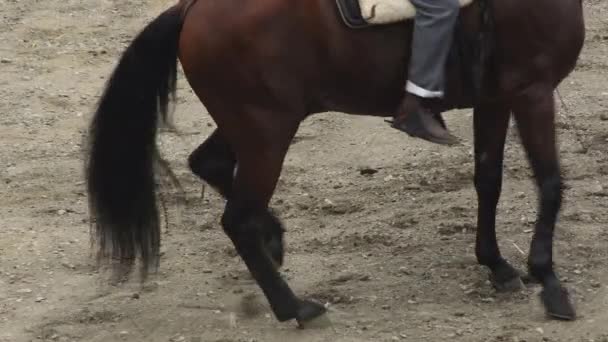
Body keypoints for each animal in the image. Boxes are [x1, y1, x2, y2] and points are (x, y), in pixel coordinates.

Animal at [84, 0, 584, 328]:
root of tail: (192, 9)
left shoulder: (497, 98)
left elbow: (489, 179)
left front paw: (497, 265)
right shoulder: (533, 91)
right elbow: (550, 183)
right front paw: (549, 281)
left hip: (251, 126)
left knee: (208, 164)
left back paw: (274, 239)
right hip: (267, 133)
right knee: (237, 218)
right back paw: (295, 307)